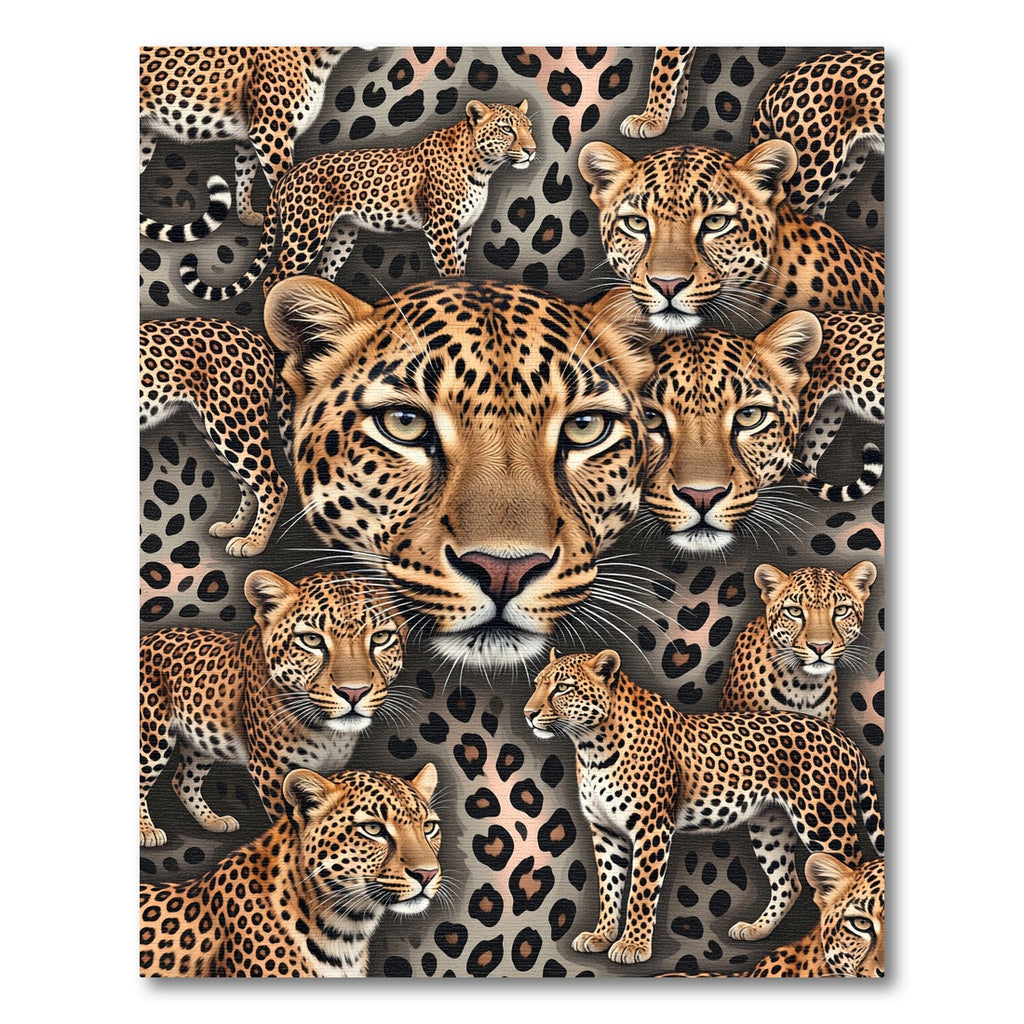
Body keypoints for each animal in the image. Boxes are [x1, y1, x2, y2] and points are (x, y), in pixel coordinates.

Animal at [139, 569, 406, 847]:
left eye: (380, 637)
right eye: (311, 640)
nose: (354, 692)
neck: (329, 732)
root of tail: (146, 638)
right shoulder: (271, 769)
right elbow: (287, 819)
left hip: (200, 740)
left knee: (183, 781)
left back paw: (213, 821)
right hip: (152, 736)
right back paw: (146, 830)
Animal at [140, 46, 348, 236]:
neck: (322, 58)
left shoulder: (251, 138)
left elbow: (245, 175)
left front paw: (246, 215)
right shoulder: (271, 132)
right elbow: (286, 182)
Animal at [140, 317, 292, 557]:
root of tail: (256, 336)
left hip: (234, 423)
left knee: (273, 484)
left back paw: (254, 542)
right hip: (212, 428)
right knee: (247, 485)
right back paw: (233, 528)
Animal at [178, 100, 537, 301]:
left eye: (529, 127)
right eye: (506, 129)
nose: (532, 150)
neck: (483, 167)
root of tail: (286, 177)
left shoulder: (462, 231)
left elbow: (461, 273)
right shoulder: (440, 229)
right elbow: (449, 273)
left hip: (342, 234)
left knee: (321, 276)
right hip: (305, 235)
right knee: (272, 280)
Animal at [523, 647, 884, 965]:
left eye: (562, 687)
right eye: (537, 683)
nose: (528, 714)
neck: (590, 747)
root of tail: (844, 737)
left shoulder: (652, 828)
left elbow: (640, 891)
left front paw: (632, 945)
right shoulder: (605, 831)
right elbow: (609, 886)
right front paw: (601, 935)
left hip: (825, 822)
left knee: (851, 877)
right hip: (770, 825)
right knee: (788, 882)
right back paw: (755, 929)